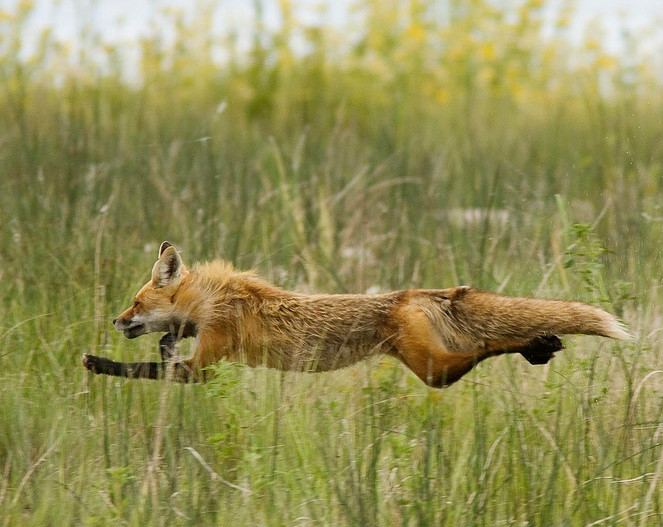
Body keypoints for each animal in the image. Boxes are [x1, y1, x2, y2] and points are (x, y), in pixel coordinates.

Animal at [80, 243, 632, 388]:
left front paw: (97, 362)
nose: (115, 321)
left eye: (135, 302)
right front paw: (161, 341)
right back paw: (539, 347)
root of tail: (417, 291)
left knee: (484, 349)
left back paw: (538, 345)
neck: (213, 301)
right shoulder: (196, 356)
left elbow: (142, 369)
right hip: (426, 363)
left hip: (431, 370)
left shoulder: (204, 367)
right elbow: (162, 352)